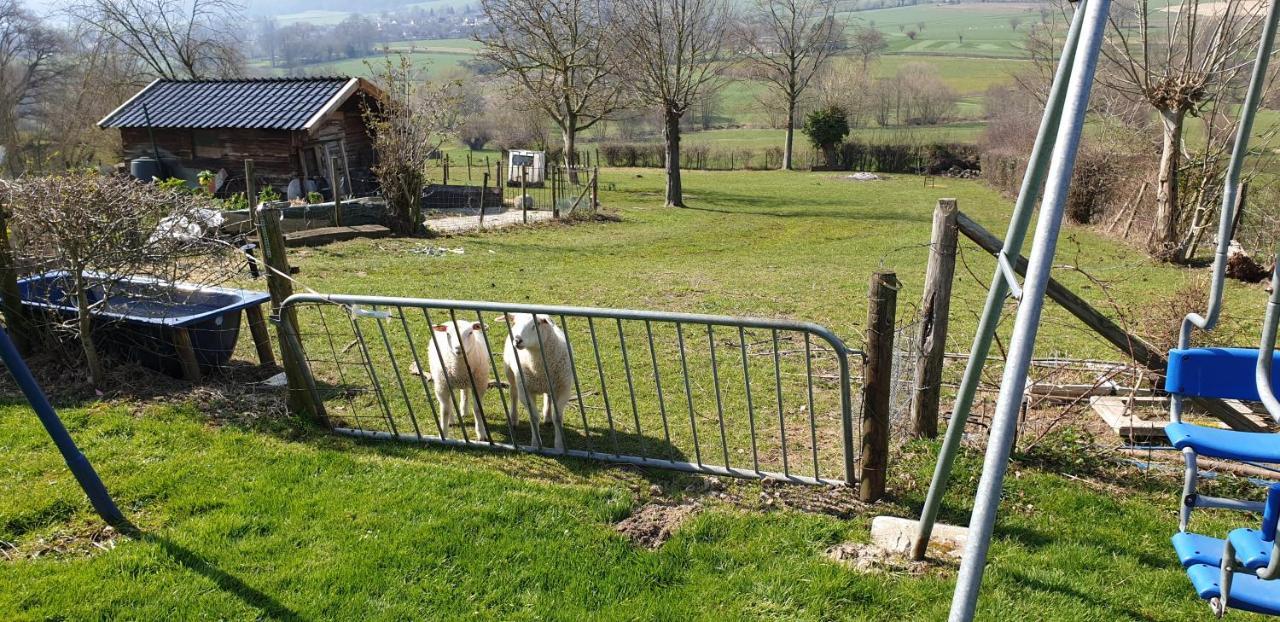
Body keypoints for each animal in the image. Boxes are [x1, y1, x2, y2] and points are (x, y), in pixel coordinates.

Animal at [499, 313, 576, 450]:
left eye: (536, 324)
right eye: (515, 323)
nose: (517, 340)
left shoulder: (564, 389)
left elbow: (558, 418)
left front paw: (559, 445)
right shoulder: (525, 391)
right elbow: (534, 417)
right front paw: (536, 444)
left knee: (549, 396)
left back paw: (548, 416)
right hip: (510, 372)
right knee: (513, 393)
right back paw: (514, 419)